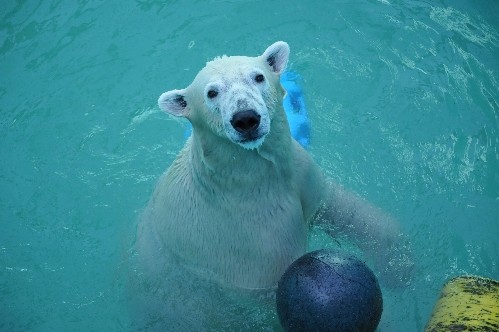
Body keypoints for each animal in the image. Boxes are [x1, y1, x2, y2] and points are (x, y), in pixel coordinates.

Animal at [132, 40, 410, 330]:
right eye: (211, 92)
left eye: (258, 77)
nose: (245, 118)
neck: (244, 181)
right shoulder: (254, 241)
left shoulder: (300, 175)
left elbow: (337, 206)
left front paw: (400, 265)